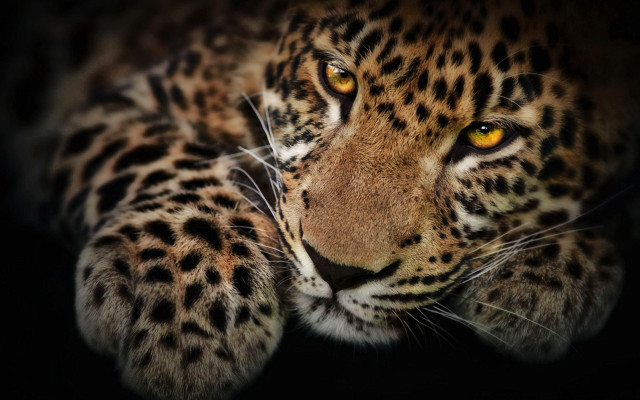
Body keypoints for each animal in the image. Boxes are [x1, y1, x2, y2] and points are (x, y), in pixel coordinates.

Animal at [2, 0, 639, 399]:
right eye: (337, 77)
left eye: (486, 134)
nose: (337, 271)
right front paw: (187, 316)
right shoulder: (112, 108)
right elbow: (162, 154)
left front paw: (550, 274)